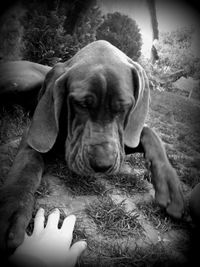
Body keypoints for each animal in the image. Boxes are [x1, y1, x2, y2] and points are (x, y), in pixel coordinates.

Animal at [0, 40, 184, 252]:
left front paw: (170, 187)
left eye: (124, 107)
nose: (102, 165)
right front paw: (12, 210)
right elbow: (26, 167)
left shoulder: (123, 140)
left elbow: (150, 134)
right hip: (20, 81)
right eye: (81, 104)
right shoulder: (35, 135)